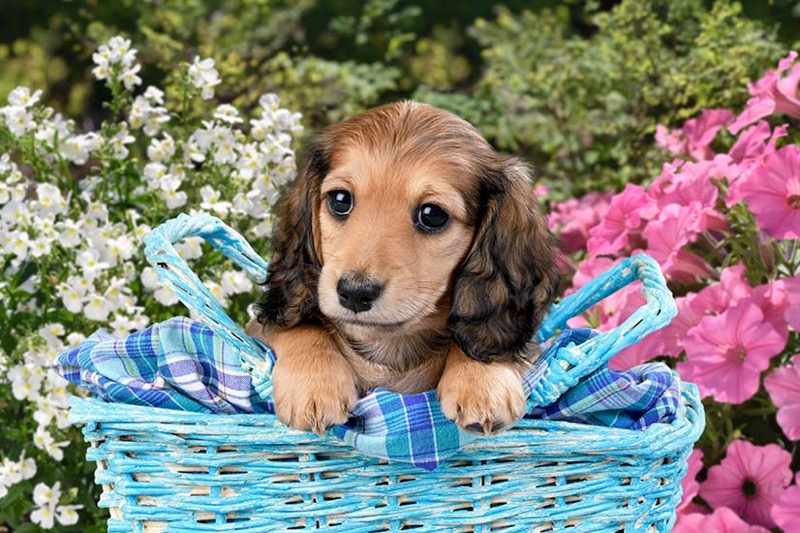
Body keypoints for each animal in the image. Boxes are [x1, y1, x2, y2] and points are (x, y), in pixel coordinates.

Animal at [247, 101, 560, 436]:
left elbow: (482, 339)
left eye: (432, 214)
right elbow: (298, 326)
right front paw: (315, 384)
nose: (354, 294)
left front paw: (480, 381)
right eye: (340, 199)